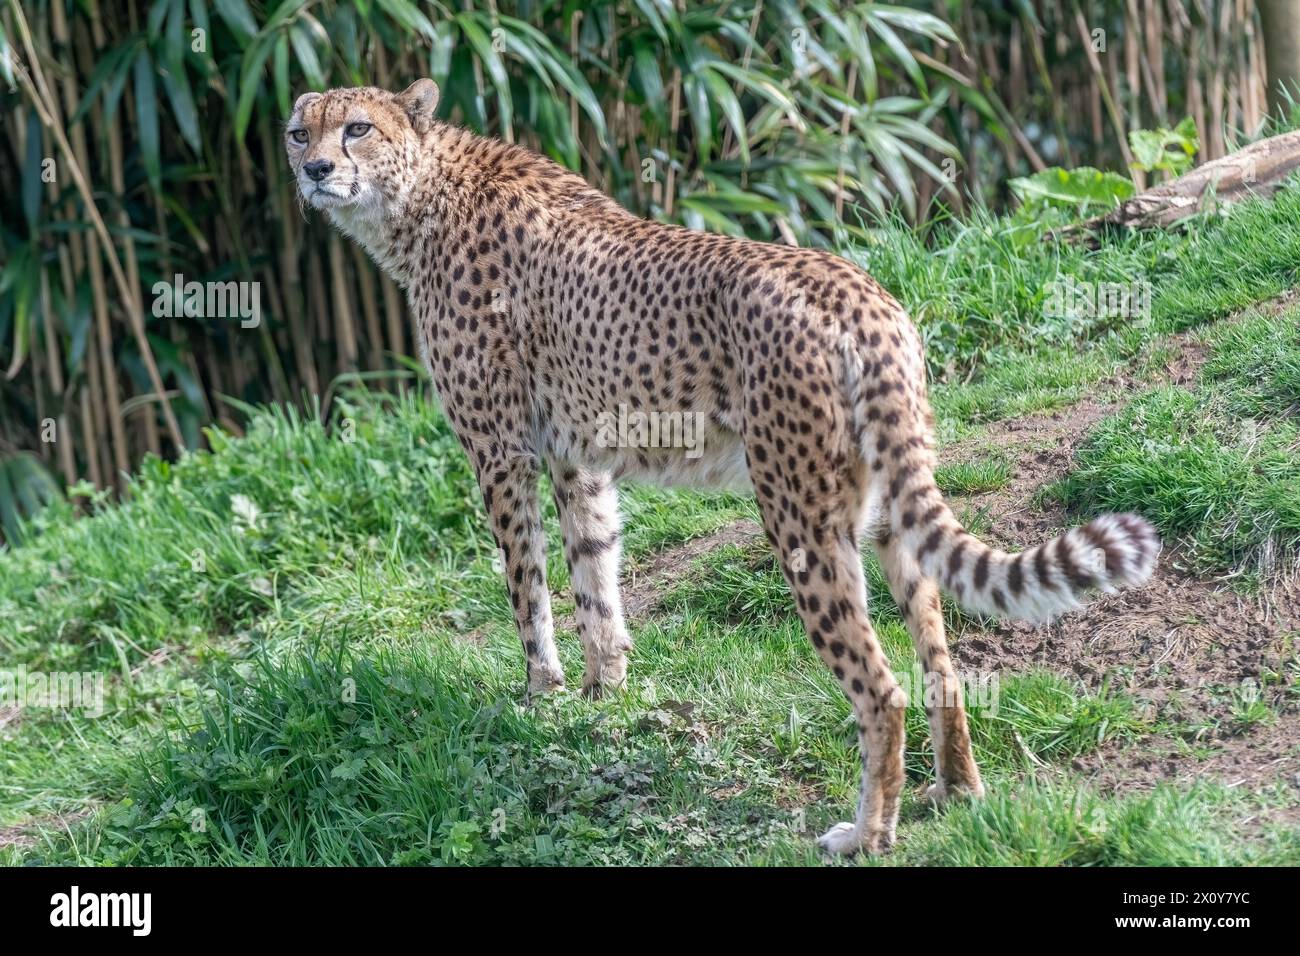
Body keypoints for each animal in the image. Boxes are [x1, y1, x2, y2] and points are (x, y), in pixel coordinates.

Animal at [285, 79, 1161, 856]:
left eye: (357, 128)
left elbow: (527, 589)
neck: (420, 194)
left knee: (880, 688)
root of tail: (861, 293)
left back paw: (868, 833)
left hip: (800, 515)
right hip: (883, 506)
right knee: (940, 659)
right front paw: (603, 695)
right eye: (301, 132)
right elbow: (595, 577)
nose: (315, 170)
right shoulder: (577, 458)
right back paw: (955, 790)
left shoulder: (502, 452)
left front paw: (541, 696)